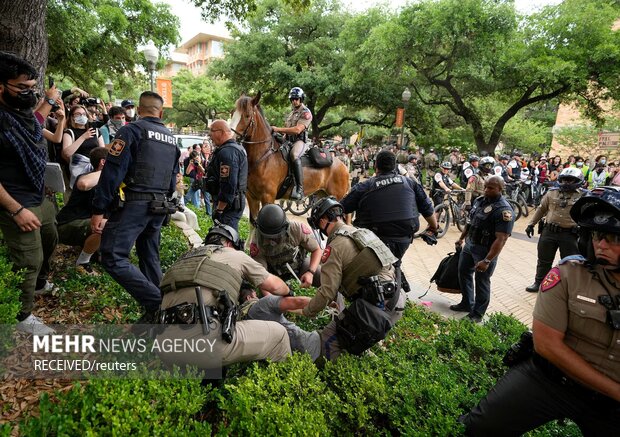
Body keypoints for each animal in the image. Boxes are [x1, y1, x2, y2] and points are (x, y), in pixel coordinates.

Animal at [230, 91, 352, 221]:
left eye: (247, 115)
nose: (230, 137)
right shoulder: (252, 197)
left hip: (337, 198)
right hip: (322, 196)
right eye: (232, 113)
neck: (264, 157)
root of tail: (344, 167)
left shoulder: (268, 197)